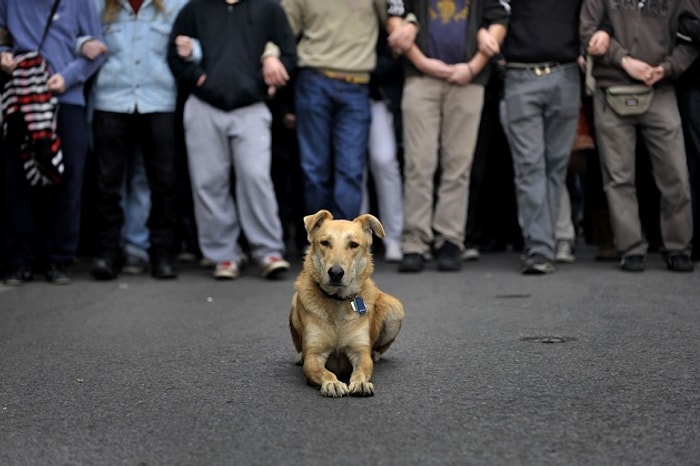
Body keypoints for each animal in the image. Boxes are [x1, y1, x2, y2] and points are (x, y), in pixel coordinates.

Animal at [290, 210, 404, 396]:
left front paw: (361, 383)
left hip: (395, 308)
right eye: (325, 242)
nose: (336, 273)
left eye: (353, 244)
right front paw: (332, 383)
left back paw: (376, 354)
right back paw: (300, 355)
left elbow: (362, 369)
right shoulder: (314, 355)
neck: (338, 301)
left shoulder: (360, 352)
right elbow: (323, 371)